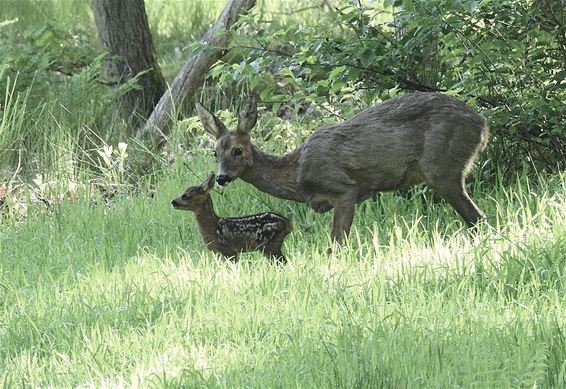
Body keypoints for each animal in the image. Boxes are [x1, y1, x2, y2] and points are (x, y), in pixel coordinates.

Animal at [197, 92, 490, 244]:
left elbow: (337, 243)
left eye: (238, 150)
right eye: (215, 153)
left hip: (443, 169)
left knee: (477, 217)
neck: (297, 176)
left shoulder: (345, 189)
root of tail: (482, 124)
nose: (221, 177)